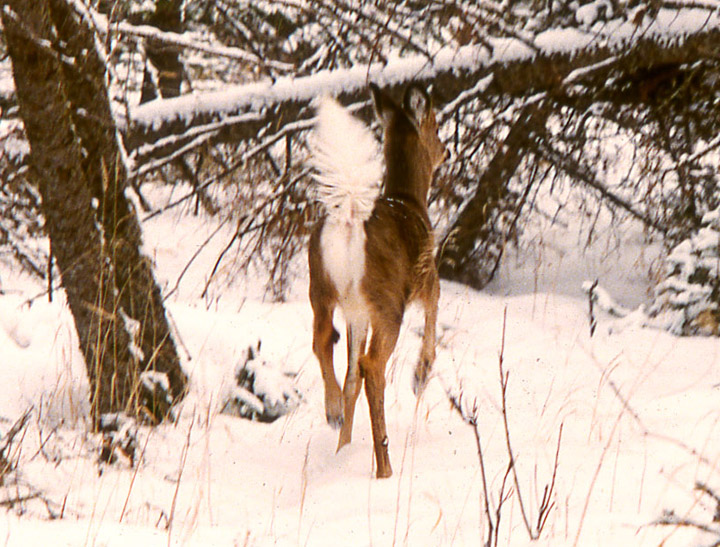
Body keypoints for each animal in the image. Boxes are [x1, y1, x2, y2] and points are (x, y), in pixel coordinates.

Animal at [308, 82, 448, 480]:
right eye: (436, 127)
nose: (446, 151)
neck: (411, 199)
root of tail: (350, 220)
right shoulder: (427, 279)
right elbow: (433, 317)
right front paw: (421, 374)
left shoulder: (358, 313)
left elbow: (351, 376)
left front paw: (343, 447)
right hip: (388, 301)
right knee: (372, 366)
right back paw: (384, 465)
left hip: (321, 286)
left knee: (325, 343)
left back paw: (335, 416)